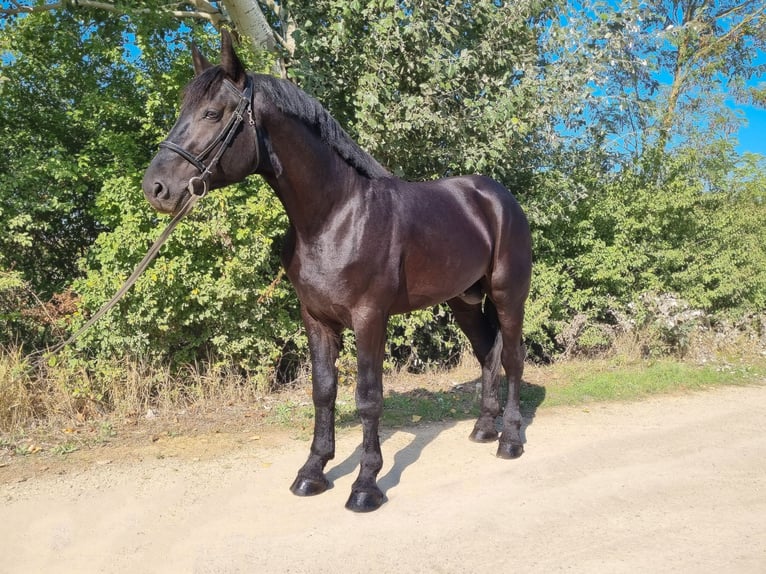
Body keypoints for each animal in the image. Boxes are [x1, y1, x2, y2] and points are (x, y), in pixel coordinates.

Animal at [144, 31, 532, 512]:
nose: (156, 188)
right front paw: (312, 472)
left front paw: (366, 484)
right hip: (464, 301)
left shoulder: (369, 318)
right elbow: (324, 391)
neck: (335, 215)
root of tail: (497, 197)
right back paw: (483, 428)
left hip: (508, 294)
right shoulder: (316, 318)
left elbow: (367, 397)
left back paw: (510, 439)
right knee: (488, 355)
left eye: (212, 113)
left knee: (512, 357)